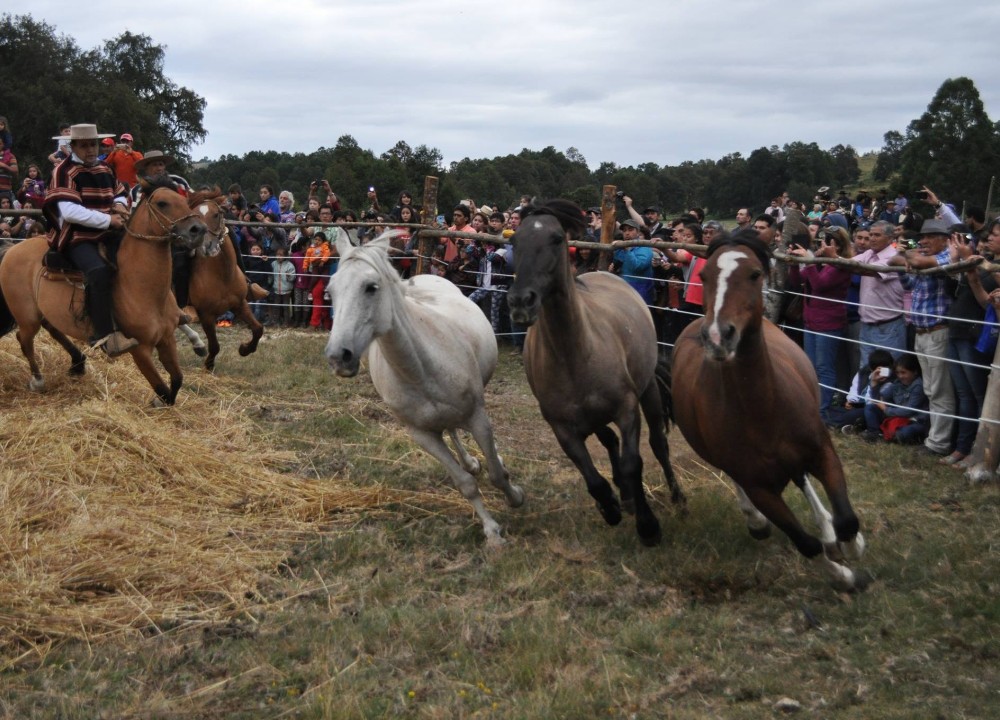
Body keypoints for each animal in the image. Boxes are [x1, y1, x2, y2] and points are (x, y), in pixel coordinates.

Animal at [0, 176, 208, 404]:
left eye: (185, 201)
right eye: (162, 203)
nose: (198, 230)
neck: (143, 289)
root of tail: (12, 249)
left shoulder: (167, 339)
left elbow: (177, 380)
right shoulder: (141, 350)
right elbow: (162, 389)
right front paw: (157, 401)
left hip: (44, 311)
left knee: (52, 329)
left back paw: (78, 363)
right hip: (27, 317)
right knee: (24, 339)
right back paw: (38, 380)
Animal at [177, 187, 264, 372]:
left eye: (216, 214)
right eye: (194, 217)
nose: (207, 245)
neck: (222, 275)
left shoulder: (240, 304)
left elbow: (258, 329)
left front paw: (244, 349)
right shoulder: (206, 314)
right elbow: (215, 346)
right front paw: (209, 365)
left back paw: (197, 344)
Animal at [322, 231, 528, 544]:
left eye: (371, 288)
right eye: (331, 291)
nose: (338, 357)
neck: (420, 367)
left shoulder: (478, 416)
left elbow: (495, 473)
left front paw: (515, 497)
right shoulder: (422, 435)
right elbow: (465, 483)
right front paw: (492, 532)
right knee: (453, 431)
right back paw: (471, 462)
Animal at [508, 198, 688, 544]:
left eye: (557, 239)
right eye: (514, 241)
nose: (522, 301)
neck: (575, 353)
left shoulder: (628, 409)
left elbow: (634, 463)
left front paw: (648, 527)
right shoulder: (562, 427)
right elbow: (594, 479)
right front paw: (611, 507)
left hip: (648, 390)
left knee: (659, 444)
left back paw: (677, 497)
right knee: (608, 439)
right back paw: (626, 497)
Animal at [672, 231, 868, 592]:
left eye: (754, 274)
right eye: (704, 276)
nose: (718, 336)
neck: (763, 407)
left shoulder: (822, 451)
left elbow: (847, 519)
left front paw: (851, 544)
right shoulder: (760, 488)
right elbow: (805, 543)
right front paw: (846, 577)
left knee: (803, 480)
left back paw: (829, 530)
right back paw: (763, 523)